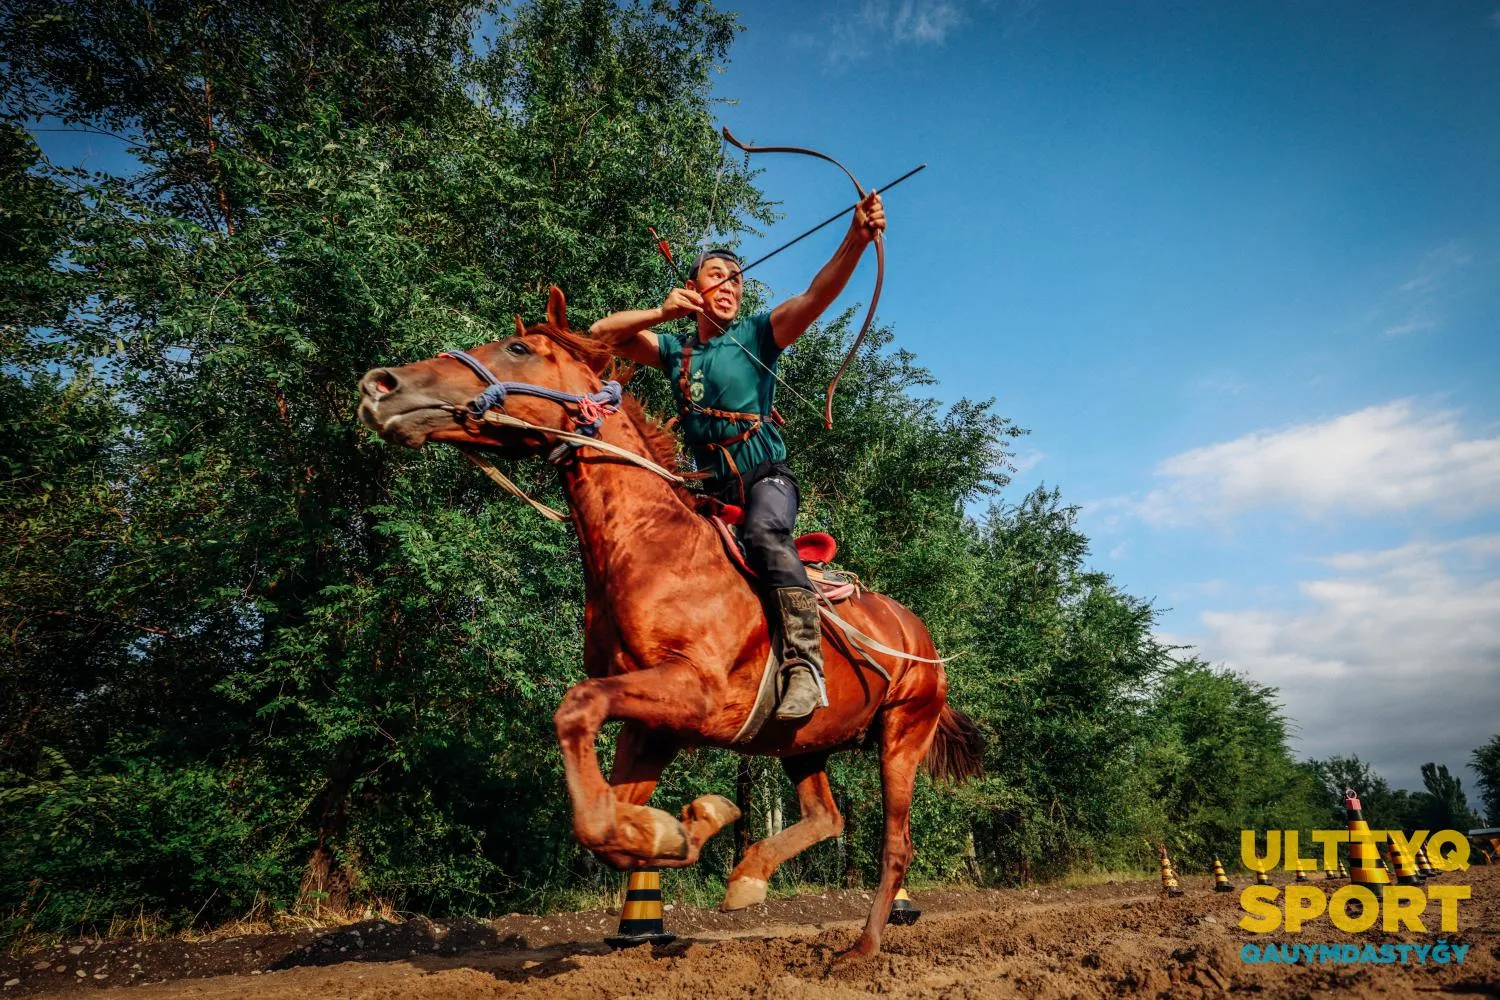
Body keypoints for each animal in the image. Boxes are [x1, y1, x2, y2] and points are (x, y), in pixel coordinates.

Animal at [355, 284, 978, 959]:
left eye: (518, 348)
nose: (380, 384)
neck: (650, 546)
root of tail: (921, 637)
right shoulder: (650, 724)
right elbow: (597, 823)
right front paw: (681, 829)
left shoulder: (693, 695)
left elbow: (576, 710)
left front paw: (686, 825)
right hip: (800, 740)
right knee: (826, 815)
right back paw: (749, 877)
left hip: (902, 736)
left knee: (895, 847)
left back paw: (860, 951)